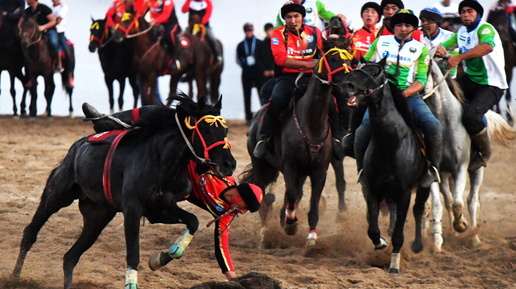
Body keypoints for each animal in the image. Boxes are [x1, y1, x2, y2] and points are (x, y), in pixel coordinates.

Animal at [10, 94, 236, 288]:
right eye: (206, 130)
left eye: (224, 131)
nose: (229, 164)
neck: (161, 161)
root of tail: (76, 148)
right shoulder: (133, 210)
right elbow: (133, 255)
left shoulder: (160, 210)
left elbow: (193, 221)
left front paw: (162, 257)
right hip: (56, 194)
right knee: (30, 233)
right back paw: (14, 277)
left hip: (98, 217)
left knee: (70, 257)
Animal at [344, 60, 430, 272]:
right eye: (359, 66)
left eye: (375, 72)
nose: (347, 85)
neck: (391, 144)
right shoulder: (373, 189)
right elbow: (373, 229)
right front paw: (380, 242)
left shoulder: (405, 192)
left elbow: (399, 234)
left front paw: (394, 265)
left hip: (424, 185)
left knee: (418, 209)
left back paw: (417, 244)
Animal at [424, 55, 516, 250]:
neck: (445, 122)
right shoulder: (434, 172)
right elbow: (438, 205)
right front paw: (437, 242)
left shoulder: (461, 167)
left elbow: (459, 203)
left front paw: (462, 225)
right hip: (446, 174)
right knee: (448, 199)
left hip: (477, 170)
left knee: (471, 201)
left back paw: (473, 237)